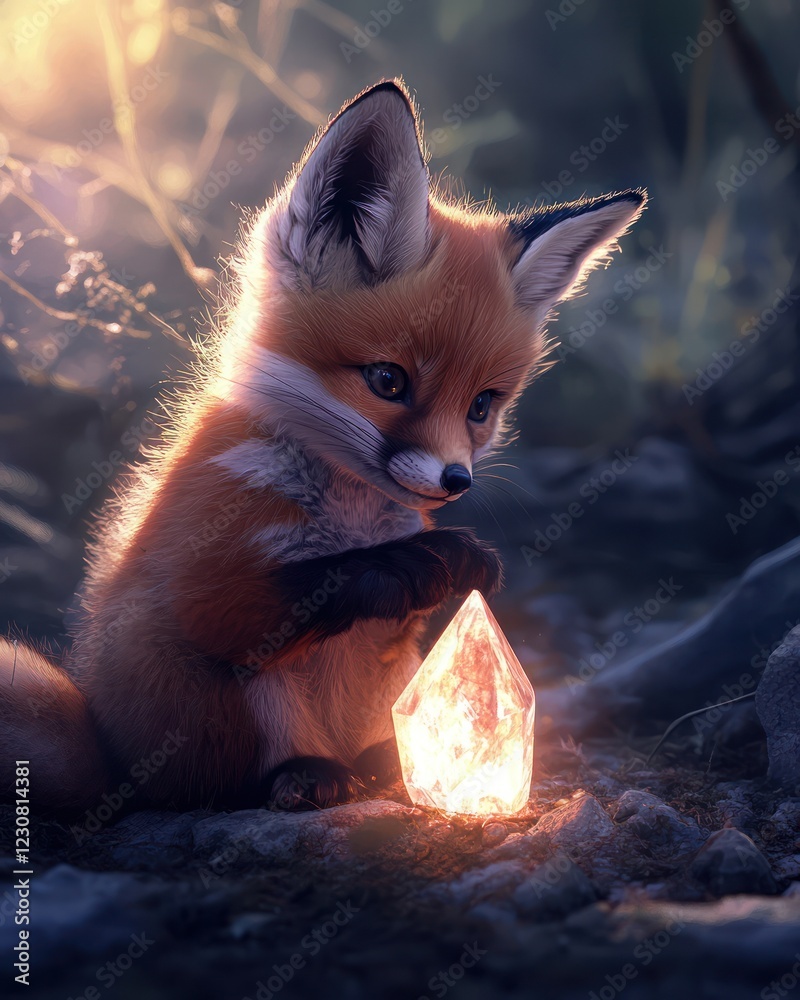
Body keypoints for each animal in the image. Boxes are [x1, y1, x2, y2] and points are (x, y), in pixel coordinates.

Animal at [0, 80, 646, 815]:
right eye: (388, 380)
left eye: (482, 406)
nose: (456, 481)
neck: (348, 515)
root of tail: (117, 763)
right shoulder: (199, 581)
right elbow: (314, 582)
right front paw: (404, 563)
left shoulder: (398, 638)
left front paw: (458, 560)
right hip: (246, 707)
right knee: (247, 773)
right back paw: (310, 775)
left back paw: (384, 765)